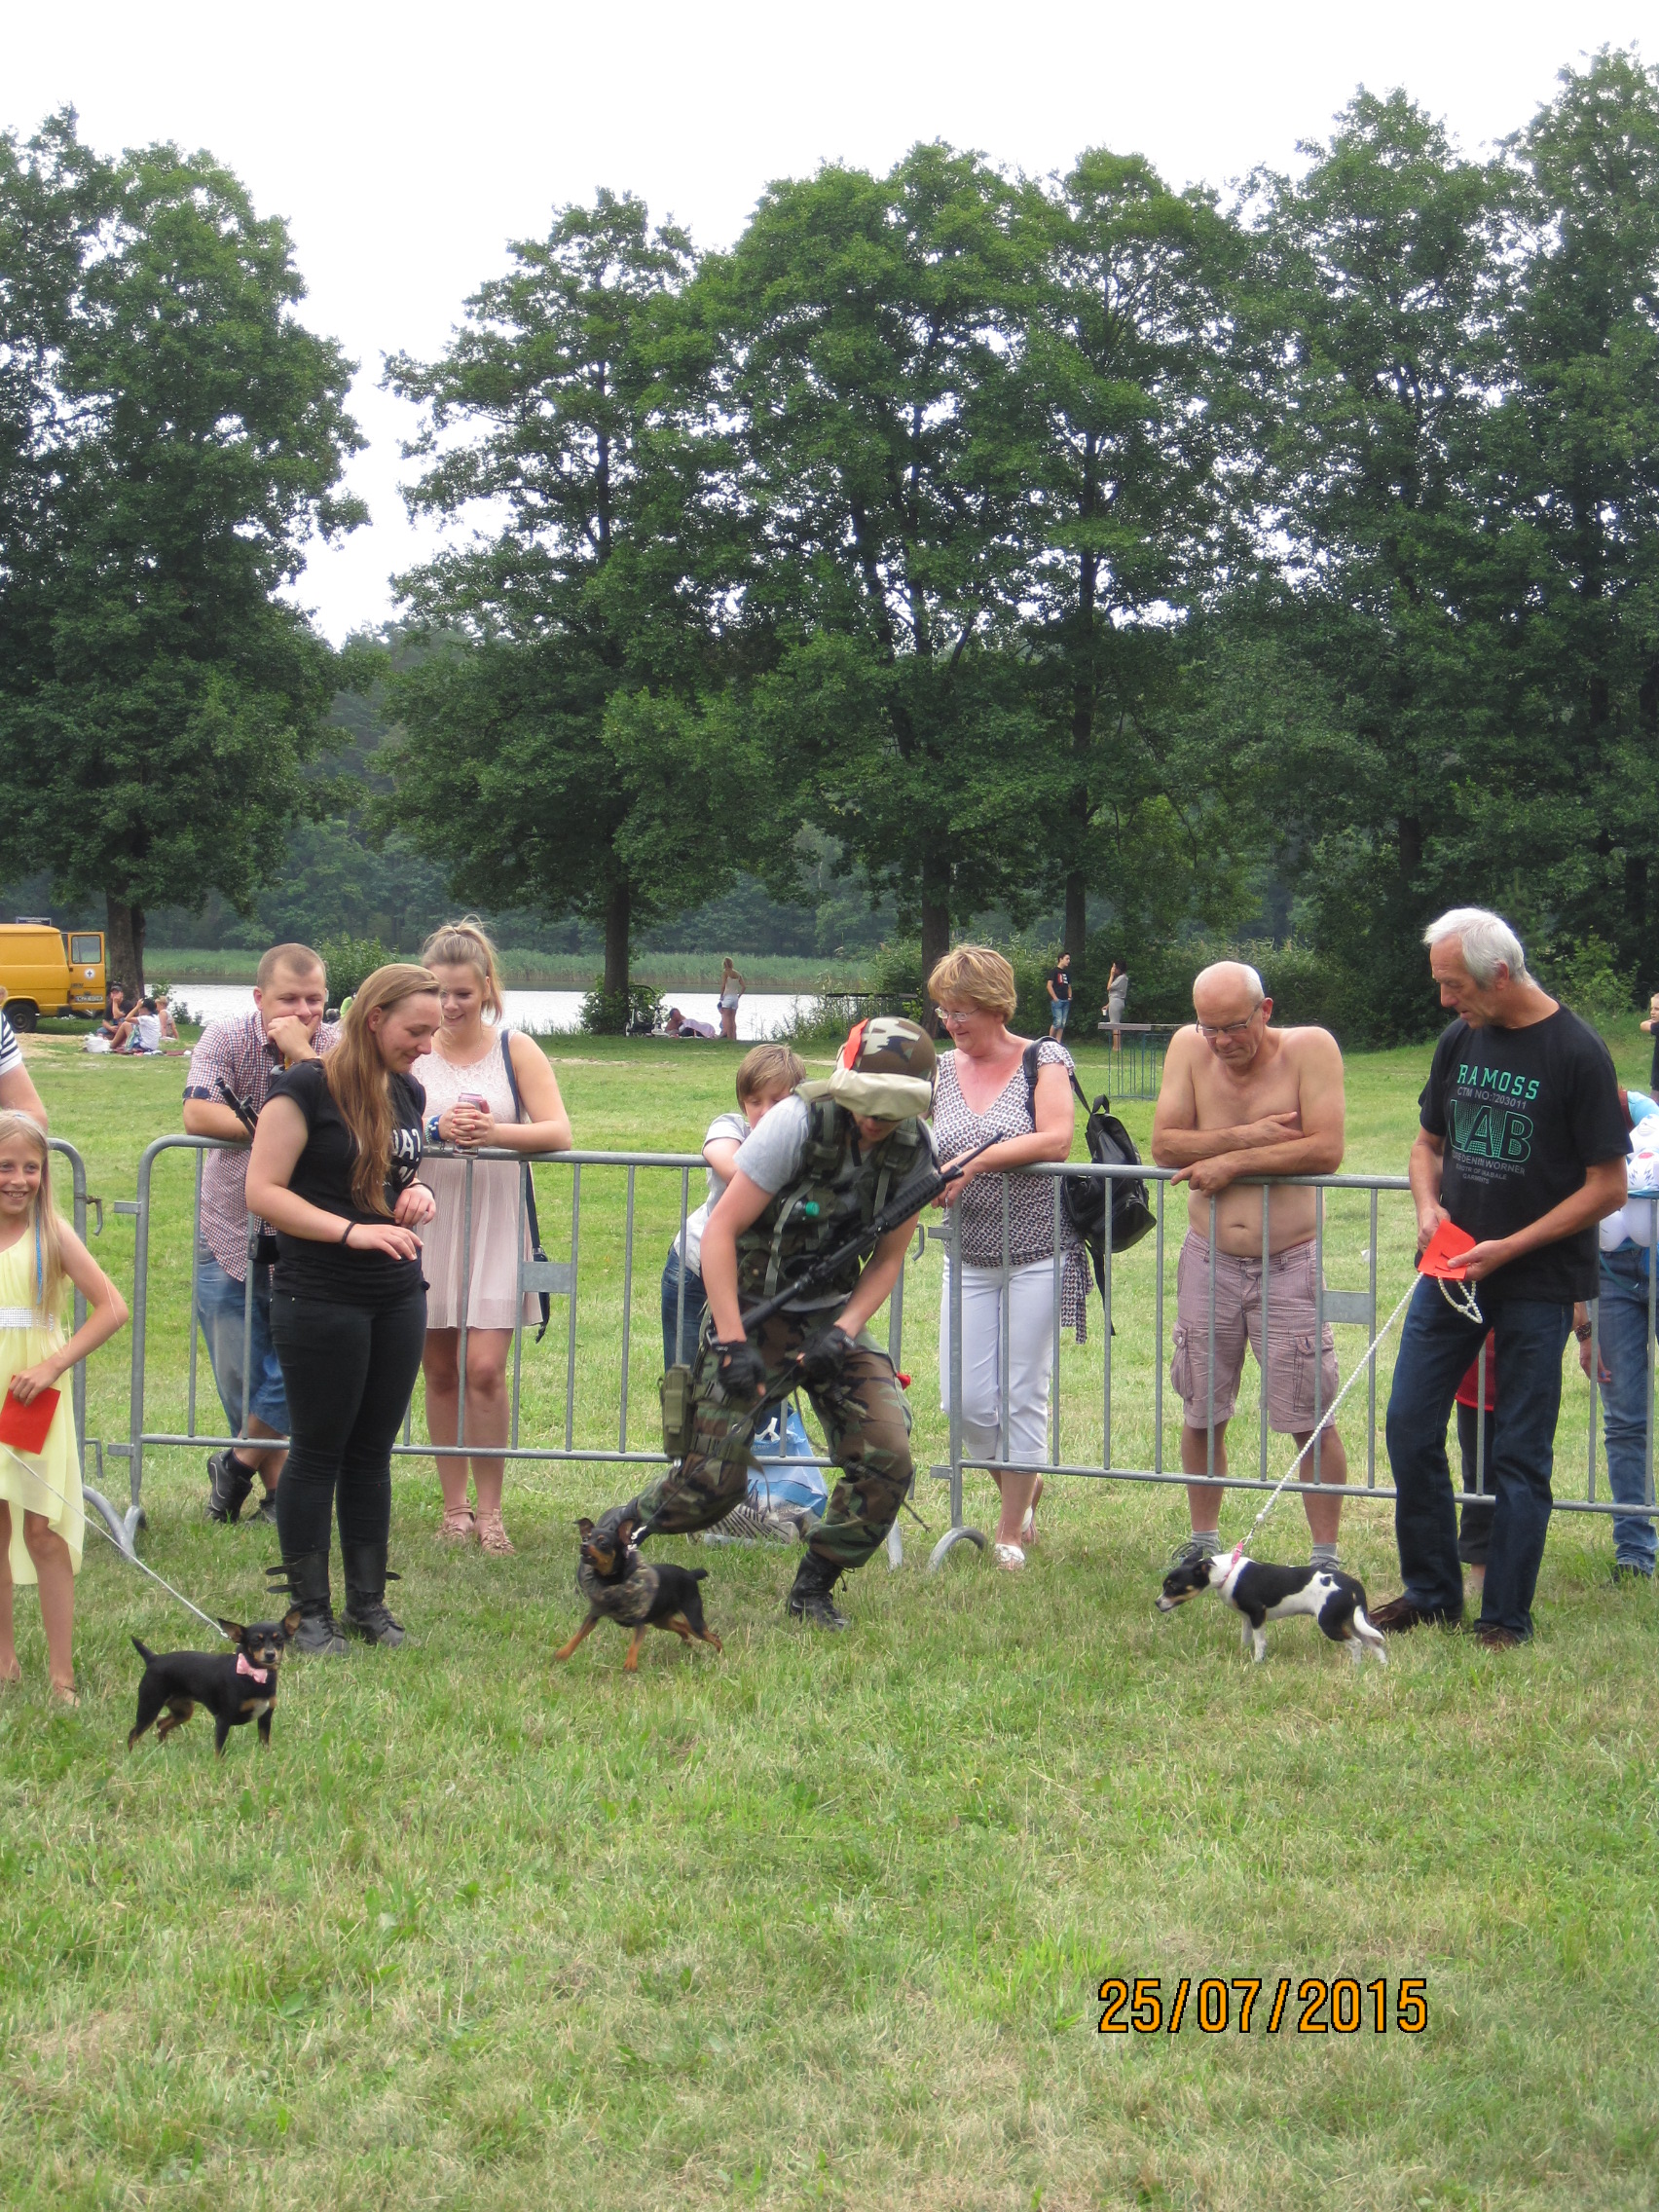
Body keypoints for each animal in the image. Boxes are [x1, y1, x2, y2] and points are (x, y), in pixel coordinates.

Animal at [128, 1609, 302, 1754]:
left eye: (279, 1639)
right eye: (255, 1641)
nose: (270, 1654)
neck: (254, 1674)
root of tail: (153, 1659)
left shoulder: (265, 1718)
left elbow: (265, 1744)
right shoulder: (223, 1720)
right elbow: (219, 1751)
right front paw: (220, 1768)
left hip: (183, 1711)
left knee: (161, 1724)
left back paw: (162, 1750)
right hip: (149, 1708)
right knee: (133, 1733)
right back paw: (131, 1756)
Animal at [555, 1511, 723, 1671]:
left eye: (603, 1543)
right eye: (585, 1538)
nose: (583, 1545)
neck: (613, 1580)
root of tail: (691, 1574)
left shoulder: (640, 1623)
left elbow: (634, 1644)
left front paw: (630, 1664)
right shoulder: (593, 1615)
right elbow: (578, 1635)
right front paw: (563, 1653)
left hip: (692, 1619)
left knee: (712, 1636)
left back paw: (719, 1654)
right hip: (662, 1620)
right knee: (683, 1628)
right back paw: (689, 1643)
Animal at [1157, 1551, 1387, 1666]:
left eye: (1173, 1588)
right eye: (1164, 1585)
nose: (1157, 1603)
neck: (1227, 1572)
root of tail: (1353, 1585)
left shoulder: (1258, 1615)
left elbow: (1259, 1642)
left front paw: (1257, 1662)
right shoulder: (1246, 1619)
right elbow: (1245, 1640)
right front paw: (1241, 1655)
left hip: (1329, 1623)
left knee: (1356, 1644)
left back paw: (1356, 1667)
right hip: (1352, 1621)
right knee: (1374, 1644)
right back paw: (1380, 1668)